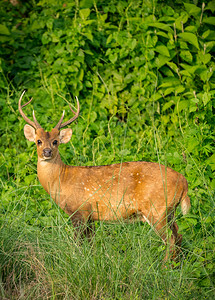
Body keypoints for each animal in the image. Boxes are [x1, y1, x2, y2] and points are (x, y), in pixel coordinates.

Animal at [18, 90, 190, 262]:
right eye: (38, 141)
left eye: (55, 141)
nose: (47, 152)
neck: (62, 180)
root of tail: (183, 181)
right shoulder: (91, 216)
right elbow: (91, 244)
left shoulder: (79, 211)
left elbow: (77, 244)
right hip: (169, 211)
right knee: (178, 234)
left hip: (157, 209)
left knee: (170, 239)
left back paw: (164, 265)